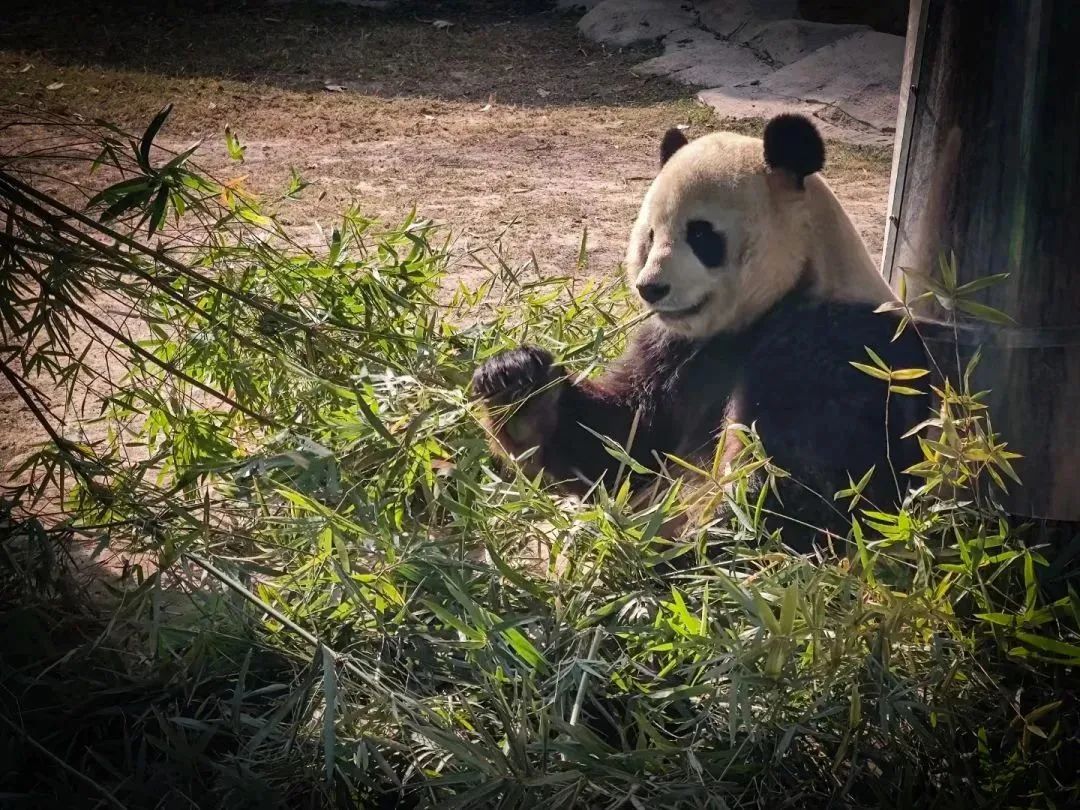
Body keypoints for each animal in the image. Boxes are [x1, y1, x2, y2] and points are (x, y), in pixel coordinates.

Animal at [470, 112, 928, 552]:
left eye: (701, 234)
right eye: (650, 235)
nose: (651, 287)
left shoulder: (829, 350)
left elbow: (794, 488)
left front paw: (659, 546)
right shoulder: (676, 349)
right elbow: (621, 443)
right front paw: (515, 380)